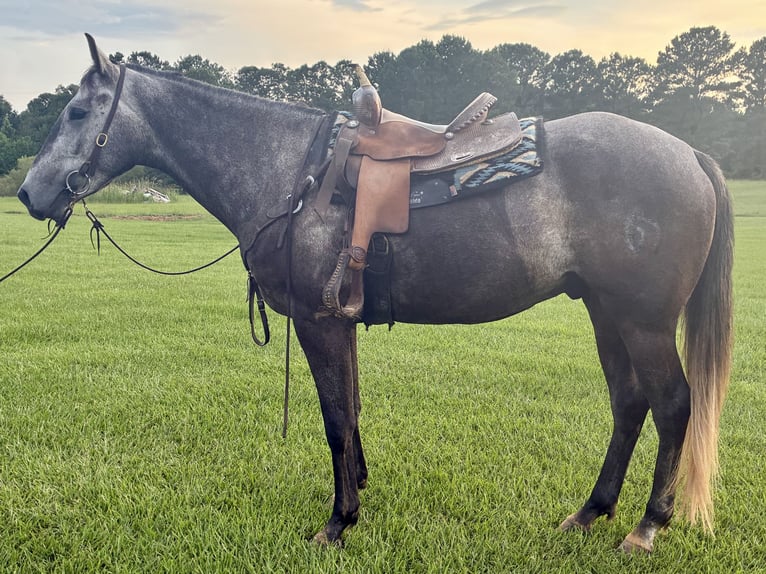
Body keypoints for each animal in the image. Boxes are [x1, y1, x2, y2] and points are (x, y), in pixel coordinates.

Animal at [17, 34, 733, 553]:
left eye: (77, 111)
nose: (28, 193)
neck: (291, 170)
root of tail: (691, 153)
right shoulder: (342, 320)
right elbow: (353, 411)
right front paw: (357, 496)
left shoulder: (319, 321)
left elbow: (336, 419)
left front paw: (338, 521)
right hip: (605, 312)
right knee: (629, 403)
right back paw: (590, 511)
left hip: (643, 321)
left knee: (673, 405)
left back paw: (647, 526)